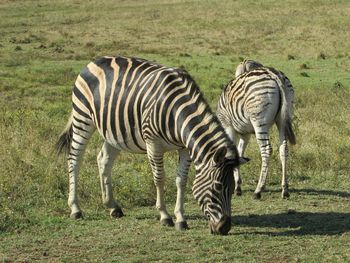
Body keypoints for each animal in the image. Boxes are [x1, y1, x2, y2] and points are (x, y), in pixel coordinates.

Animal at [56, 55, 246, 235]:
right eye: (217, 187)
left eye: (232, 189)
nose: (224, 228)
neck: (177, 113)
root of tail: (93, 61)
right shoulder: (153, 143)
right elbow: (160, 178)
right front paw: (165, 216)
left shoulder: (185, 148)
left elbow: (181, 181)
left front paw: (180, 218)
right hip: (82, 118)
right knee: (74, 159)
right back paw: (75, 209)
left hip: (113, 131)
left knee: (103, 160)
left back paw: (112, 206)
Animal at [216, 59, 296, 200]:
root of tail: (275, 75)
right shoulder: (245, 134)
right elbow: (239, 153)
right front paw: (237, 186)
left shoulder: (228, 126)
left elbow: (233, 153)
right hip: (284, 119)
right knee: (284, 149)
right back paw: (285, 190)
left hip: (259, 120)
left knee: (266, 150)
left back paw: (258, 190)